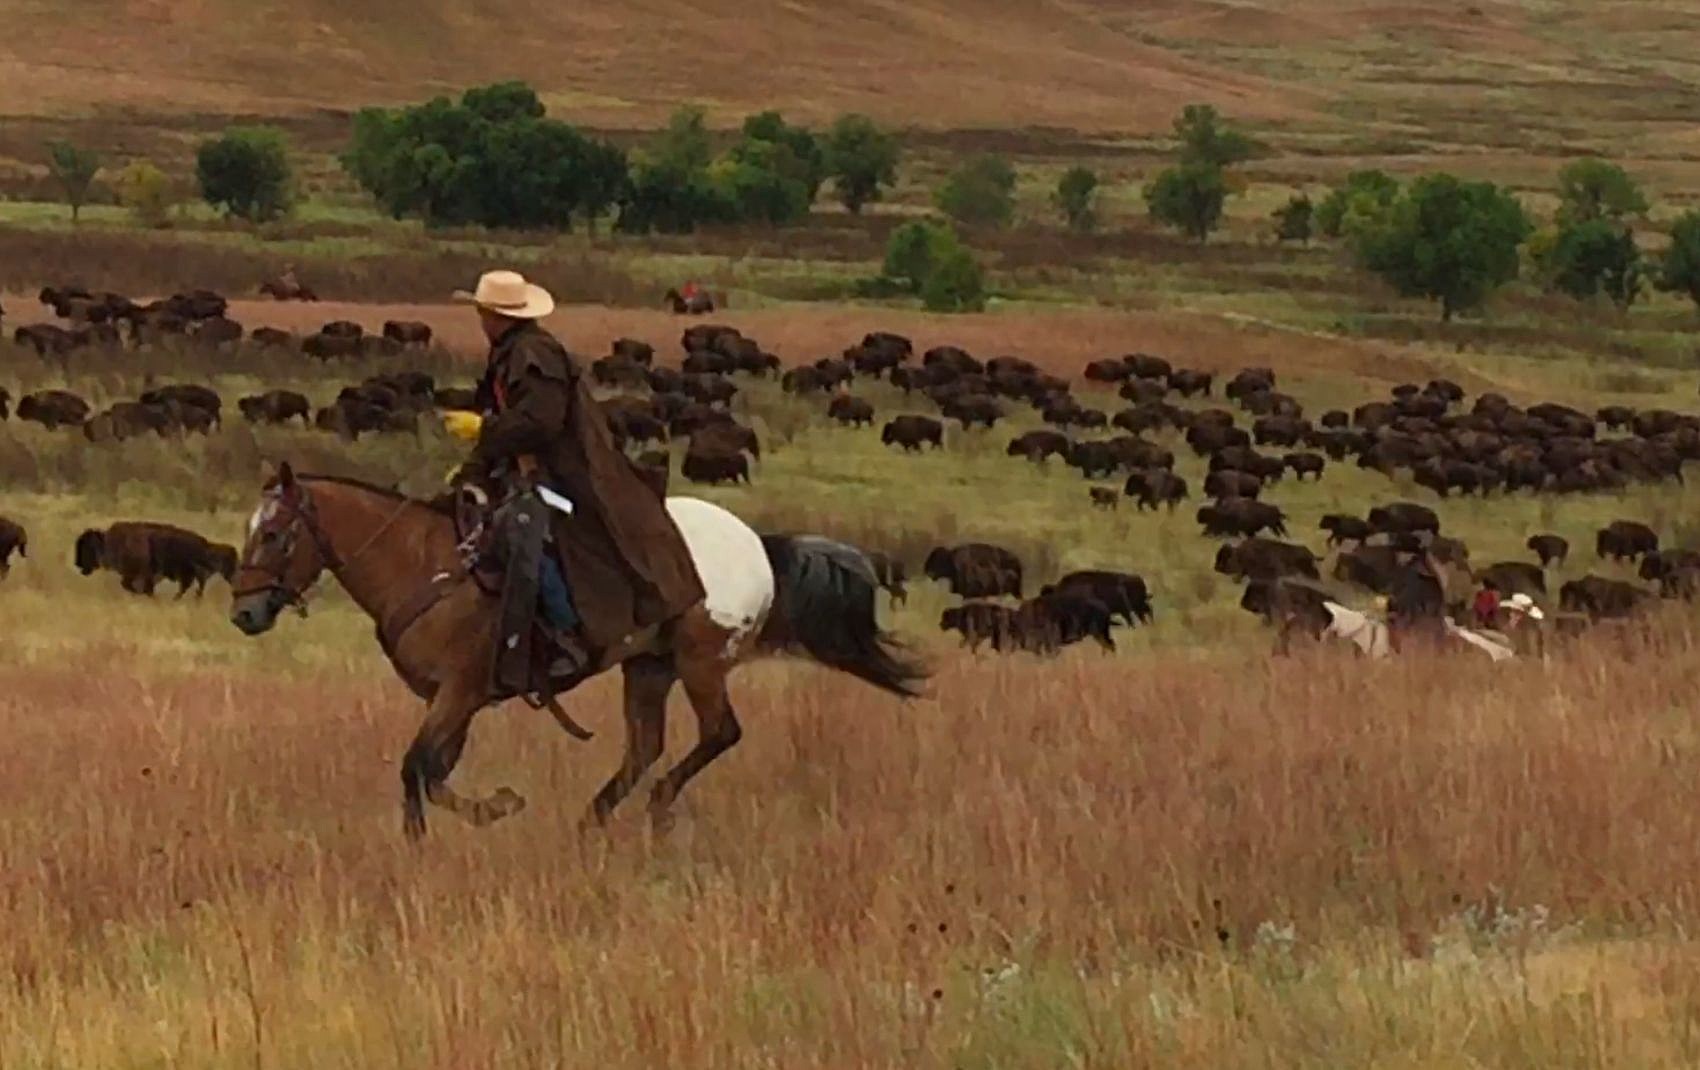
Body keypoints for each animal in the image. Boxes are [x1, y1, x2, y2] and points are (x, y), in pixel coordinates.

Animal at [231, 462, 924, 840]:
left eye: (274, 534)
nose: (244, 613)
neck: (428, 566)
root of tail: (758, 543)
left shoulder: (459, 691)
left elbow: (416, 767)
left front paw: (445, 830)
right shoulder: (458, 700)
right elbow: (434, 771)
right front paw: (491, 809)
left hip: (700, 661)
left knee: (718, 733)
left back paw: (656, 807)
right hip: (649, 667)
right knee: (644, 746)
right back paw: (591, 821)